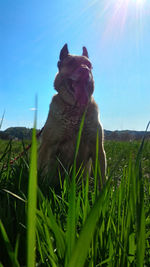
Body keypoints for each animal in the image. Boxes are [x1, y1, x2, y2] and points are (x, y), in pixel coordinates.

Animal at [38, 44, 106, 188]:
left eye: (89, 65)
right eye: (71, 63)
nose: (85, 70)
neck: (75, 109)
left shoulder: (97, 147)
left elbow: (102, 177)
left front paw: (103, 191)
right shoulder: (49, 145)